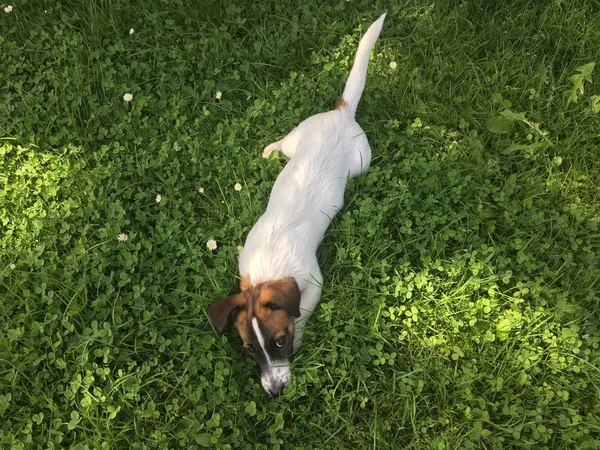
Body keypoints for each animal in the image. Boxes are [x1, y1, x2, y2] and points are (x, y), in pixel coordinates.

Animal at [207, 12, 384, 396]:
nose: (275, 392)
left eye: (280, 340)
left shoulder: (314, 283)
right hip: (297, 138)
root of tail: (341, 113)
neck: (266, 272)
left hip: (362, 162)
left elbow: (301, 312)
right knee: (282, 144)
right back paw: (269, 150)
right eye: (248, 349)